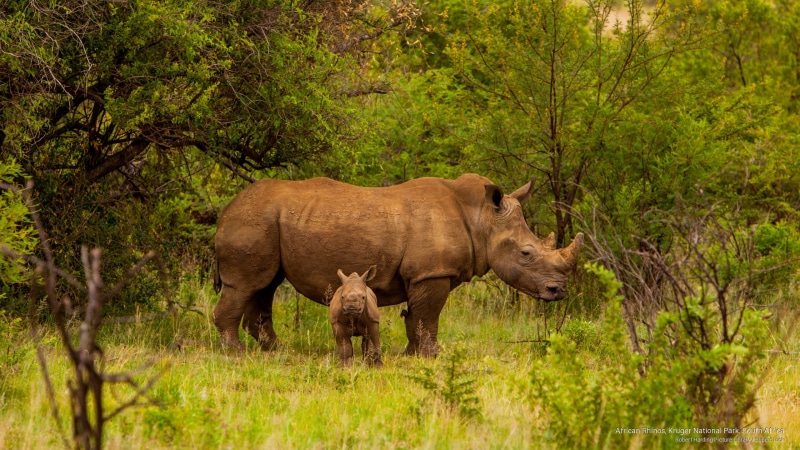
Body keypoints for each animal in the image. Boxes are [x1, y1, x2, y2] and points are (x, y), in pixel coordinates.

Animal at [213, 173, 583, 356]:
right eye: (526, 254)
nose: (559, 291)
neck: (482, 218)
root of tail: (226, 208)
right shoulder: (432, 273)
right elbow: (429, 316)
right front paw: (434, 355)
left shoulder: (421, 275)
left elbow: (415, 318)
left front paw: (411, 353)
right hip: (253, 220)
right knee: (246, 284)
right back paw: (236, 353)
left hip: (265, 221)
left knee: (265, 285)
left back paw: (274, 350)